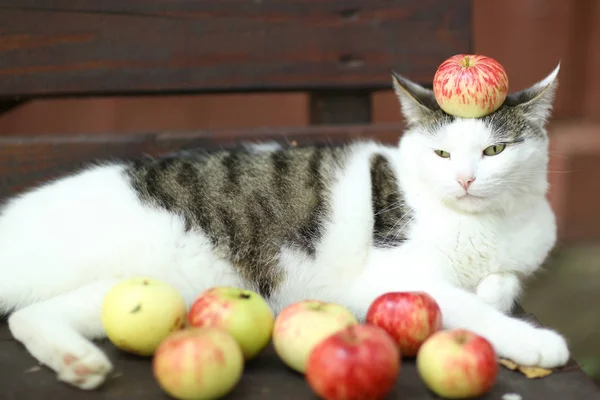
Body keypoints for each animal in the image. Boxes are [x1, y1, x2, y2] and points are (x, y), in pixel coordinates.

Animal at [0, 64, 568, 390]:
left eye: (494, 150)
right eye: (443, 154)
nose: (466, 179)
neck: (483, 224)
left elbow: (501, 284)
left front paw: (494, 289)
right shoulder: (390, 277)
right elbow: (470, 306)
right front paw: (533, 341)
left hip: (142, 288)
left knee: (30, 316)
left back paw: (76, 361)